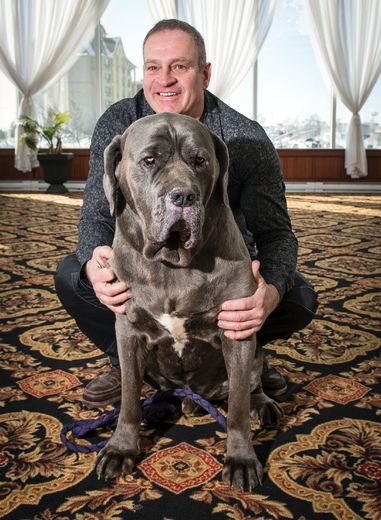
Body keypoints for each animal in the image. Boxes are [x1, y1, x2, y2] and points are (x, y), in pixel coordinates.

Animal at [95, 111, 280, 490]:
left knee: (252, 385)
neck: (173, 263)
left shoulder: (237, 331)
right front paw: (121, 448)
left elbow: (237, 407)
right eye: (150, 160)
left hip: (255, 351)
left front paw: (241, 458)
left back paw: (263, 404)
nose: (183, 196)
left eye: (200, 161)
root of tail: (195, 398)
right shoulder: (129, 333)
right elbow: (128, 399)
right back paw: (159, 407)